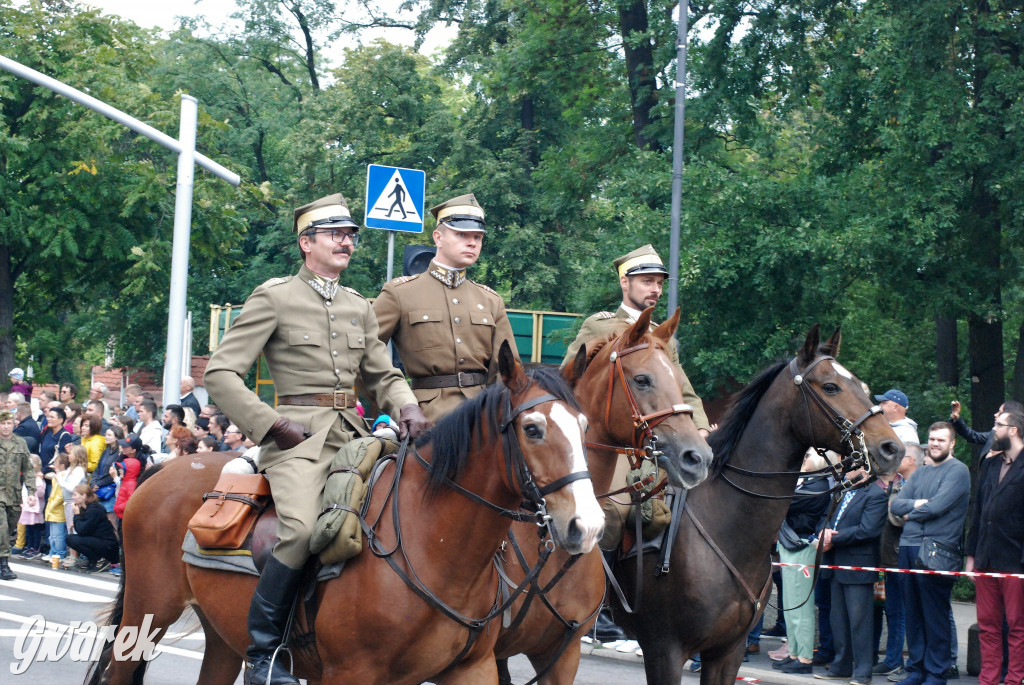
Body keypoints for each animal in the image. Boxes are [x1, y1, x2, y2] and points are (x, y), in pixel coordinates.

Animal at [86, 344, 606, 679]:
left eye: (583, 426)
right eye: (533, 429)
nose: (587, 526)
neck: (435, 544)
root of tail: (163, 470)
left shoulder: (474, 670)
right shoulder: (350, 672)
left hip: (221, 635)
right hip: (145, 617)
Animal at [606, 325, 905, 683]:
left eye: (862, 386)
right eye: (831, 387)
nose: (892, 449)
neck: (728, 525)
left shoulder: (727, 652)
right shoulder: (664, 650)